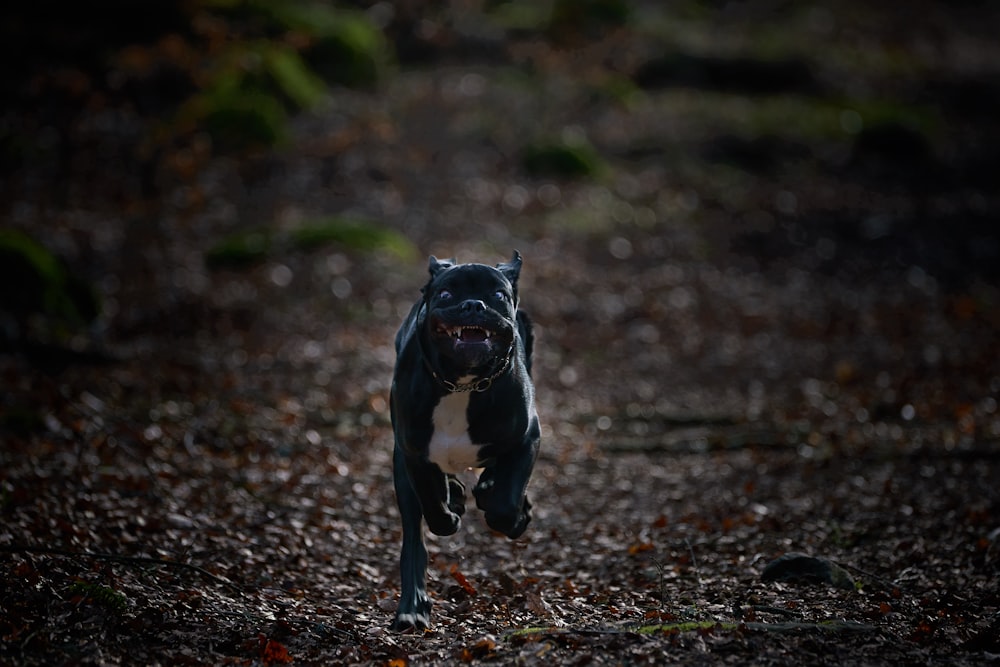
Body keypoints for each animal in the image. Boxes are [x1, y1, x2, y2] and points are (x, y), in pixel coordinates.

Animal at [390, 249, 544, 632]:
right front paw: (452, 508)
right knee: (414, 538)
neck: (462, 384)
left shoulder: (527, 437)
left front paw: (511, 513)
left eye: (499, 295)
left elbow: (505, 503)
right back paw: (412, 609)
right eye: (446, 294)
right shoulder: (414, 455)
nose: (474, 305)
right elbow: (434, 509)